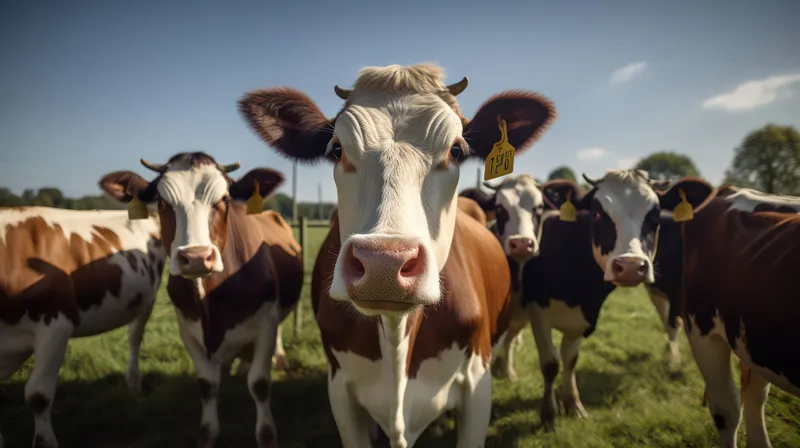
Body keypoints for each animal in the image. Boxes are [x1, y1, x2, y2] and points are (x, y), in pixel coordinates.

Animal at [99, 152, 304, 448]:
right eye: (161, 202)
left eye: (224, 199)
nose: (196, 257)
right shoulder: (187, 327)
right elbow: (207, 385)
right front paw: (208, 435)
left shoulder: (266, 322)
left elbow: (260, 384)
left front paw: (267, 436)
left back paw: (278, 360)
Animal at [237, 62, 556, 447]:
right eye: (336, 149)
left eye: (457, 150)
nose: (384, 265)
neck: (395, 337)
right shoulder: (340, 390)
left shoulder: (478, 386)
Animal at [571, 170, 800, 448]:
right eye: (597, 214)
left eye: (654, 216)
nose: (631, 266)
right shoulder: (674, 302)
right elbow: (670, 325)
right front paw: (673, 360)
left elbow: (672, 324)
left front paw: (673, 361)